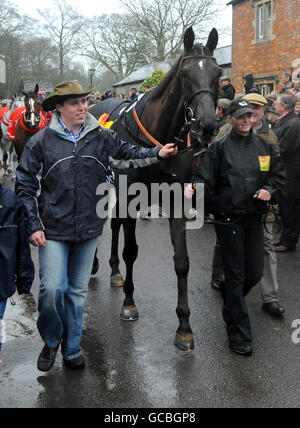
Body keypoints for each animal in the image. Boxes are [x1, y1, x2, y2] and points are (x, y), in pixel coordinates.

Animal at [90, 27, 221, 352]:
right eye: (185, 74)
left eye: (217, 74)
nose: (207, 126)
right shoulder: (131, 199)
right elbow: (131, 250)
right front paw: (129, 303)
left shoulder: (177, 201)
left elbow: (182, 262)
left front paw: (184, 326)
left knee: (114, 224)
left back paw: (114, 271)